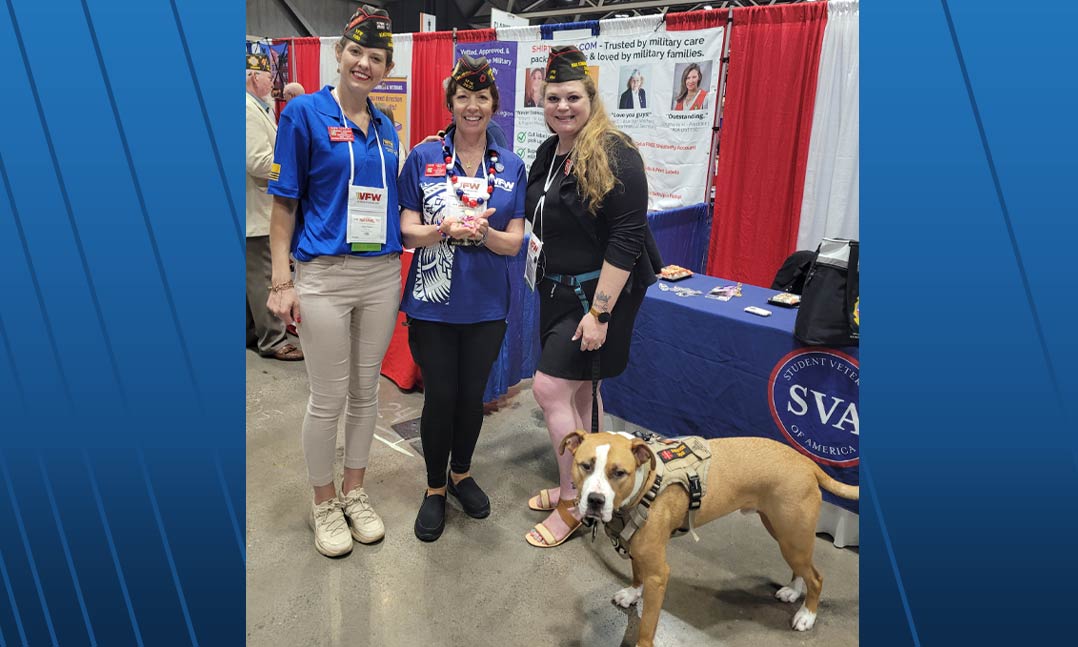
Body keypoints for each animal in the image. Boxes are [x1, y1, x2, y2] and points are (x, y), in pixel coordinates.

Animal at [564, 429, 858, 647]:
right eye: (585, 466)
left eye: (619, 473)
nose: (595, 500)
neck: (645, 483)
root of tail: (807, 462)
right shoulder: (638, 548)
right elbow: (637, 572)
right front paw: (633, 593)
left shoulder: (659, 574)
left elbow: (646, 626)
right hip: (785, 531)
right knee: (802, 567)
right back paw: (794, 591)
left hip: (792, 535)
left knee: (816, 577)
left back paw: (807, 615)